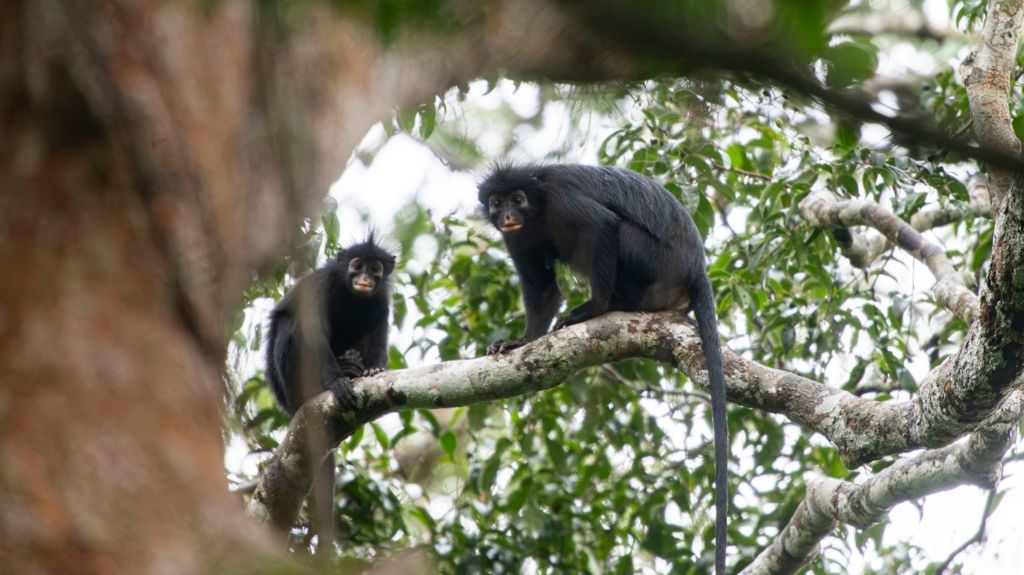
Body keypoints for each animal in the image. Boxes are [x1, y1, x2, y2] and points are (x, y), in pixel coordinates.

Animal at [265, 234, 395, 554]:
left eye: (375, 268)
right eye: (357, 265)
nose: (364, 278)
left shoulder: (381, 299)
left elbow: (379, 325)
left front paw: (373, 370)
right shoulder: (321, 286)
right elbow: (313, 333)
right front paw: (336, 382)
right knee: (290, 323)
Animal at [478, 163, 729, 574]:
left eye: (518, 198)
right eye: (497, 204)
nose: (509, 215)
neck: (538, 209)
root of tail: (696, 267)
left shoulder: (562, 198)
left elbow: (603, 226)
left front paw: (594, 308)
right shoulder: (517, 239)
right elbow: (543, 292)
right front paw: (520, 342)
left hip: (655, 261)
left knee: (619, 231)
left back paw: (614, 304)